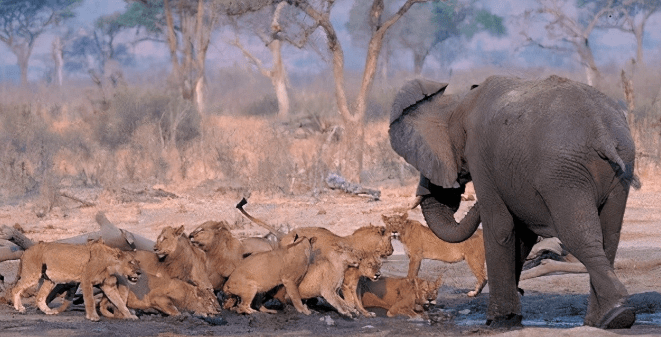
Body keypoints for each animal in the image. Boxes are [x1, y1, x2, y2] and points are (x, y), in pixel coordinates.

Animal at [10, 236, 140, 320]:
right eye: (131, 262)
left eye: (137, 262)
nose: (139, 273)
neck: (110, 265)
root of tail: (26, 250)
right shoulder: (86, 279)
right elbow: (90, 300)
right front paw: (93, 317)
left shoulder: (109, 286)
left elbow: (120, 303)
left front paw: (129, 316)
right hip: (32, 274)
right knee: (16, 289)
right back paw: (20, 308)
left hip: (49, 280)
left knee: (40, 297)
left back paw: (49, 311)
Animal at [390, 74, 636, 328]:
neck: (458, 101)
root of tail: (602, 132)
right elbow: (522, 234)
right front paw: (510, 317)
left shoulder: (481, 159)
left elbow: (500, 228)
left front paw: (499, 320)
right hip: (619, 168)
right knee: (609, 236)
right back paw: (604, 320)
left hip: (563, 174)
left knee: (578, 236)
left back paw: (618, 315)